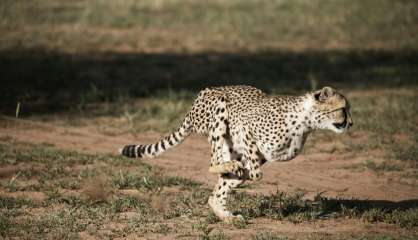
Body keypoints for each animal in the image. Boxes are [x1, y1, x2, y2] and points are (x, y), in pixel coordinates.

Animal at [118, 85, 352, 222]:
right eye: (343, 109)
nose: (351, 123)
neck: (305, 120)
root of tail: (205, 91)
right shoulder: (246, 128)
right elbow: (256, 173)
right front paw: (240, 171)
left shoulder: (264, 155)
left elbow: (247, 173)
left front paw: (237, 175)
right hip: (219, 110)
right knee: (213, 163)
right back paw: (229, 170)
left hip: (230, 146)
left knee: (217, 191)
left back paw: (225, 213)